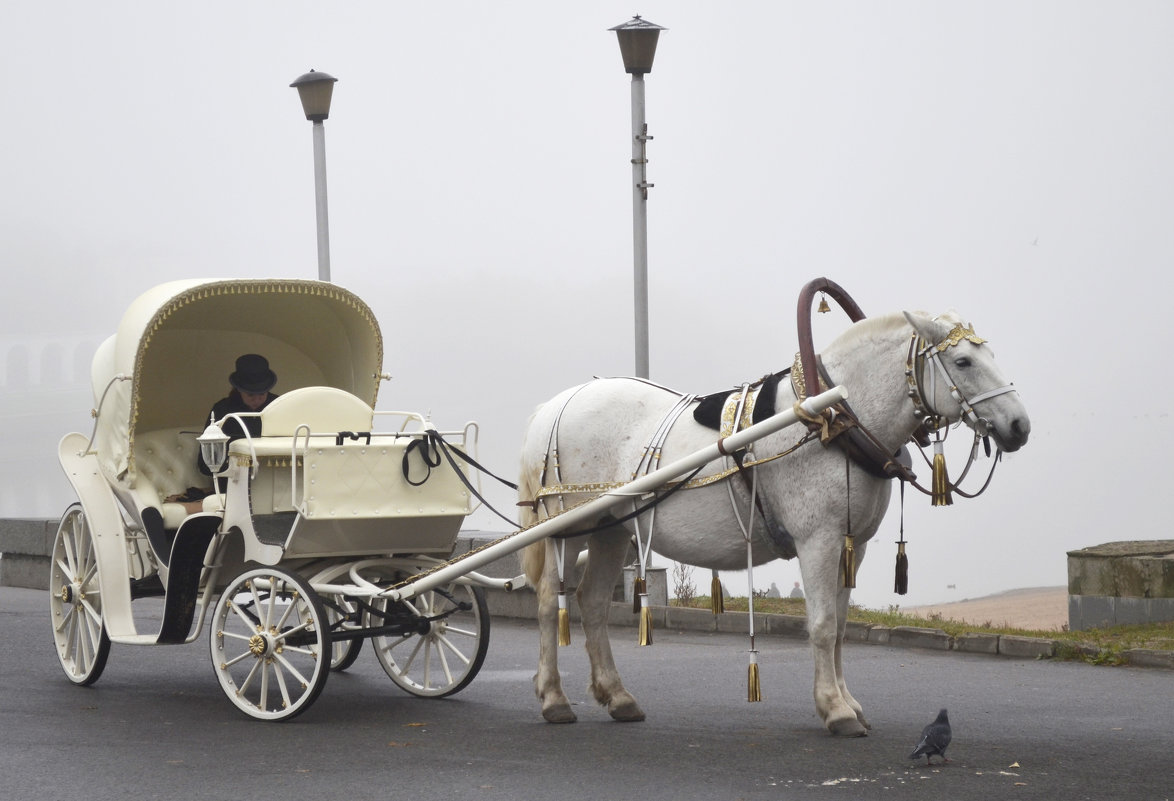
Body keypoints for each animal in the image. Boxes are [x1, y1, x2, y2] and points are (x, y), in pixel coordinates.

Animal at [521, 307, 1028, 732]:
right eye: (963, 361)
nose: (1019, 426)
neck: (832, 418)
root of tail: (554, 407)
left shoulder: (853, 544)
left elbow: (840, 627)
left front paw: (848, 701)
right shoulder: (819, 540)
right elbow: (823, 625)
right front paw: (836, 709)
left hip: (610, 528)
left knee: (591, 603)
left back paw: (618, 696)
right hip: (567, 525)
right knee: (548, 603)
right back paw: (554, 699)